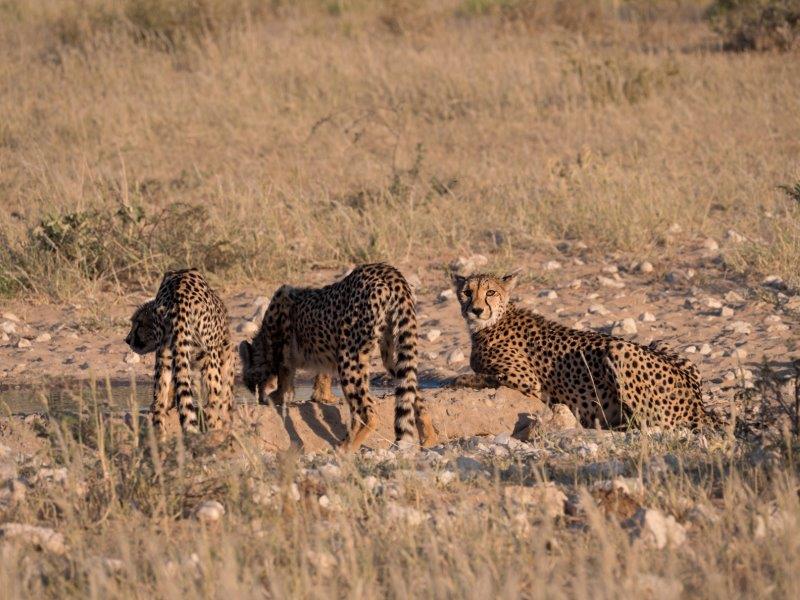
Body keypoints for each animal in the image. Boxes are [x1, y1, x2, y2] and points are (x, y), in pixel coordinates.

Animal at [123, 270, 233, 434]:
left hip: (165, 356)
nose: (127, 339)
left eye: (139, 324)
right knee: (212, 402)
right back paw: (215, 431)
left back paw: (160, 434)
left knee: (159, 400)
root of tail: (178, 291)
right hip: (206, 355)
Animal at [238, 262, 438, 450]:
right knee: (410, 387)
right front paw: (323, 396)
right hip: (391, 351)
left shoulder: (283, 344)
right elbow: (321, 374)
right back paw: (429, 437)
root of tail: (386, 270)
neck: (262, 342)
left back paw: (346, 447)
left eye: (249, 382)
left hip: (349, 355)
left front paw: (278, 397)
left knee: (367, 412)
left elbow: (284, 375)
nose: (258, 398)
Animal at [454, 272, 708, 432]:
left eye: (490, 292)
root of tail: (700, 406)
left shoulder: (526, 379)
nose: (476, 310)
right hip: (659, 342)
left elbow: (478, 376)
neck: (494, 320)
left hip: (619, 348)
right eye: (467, 292)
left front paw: (461, 378)